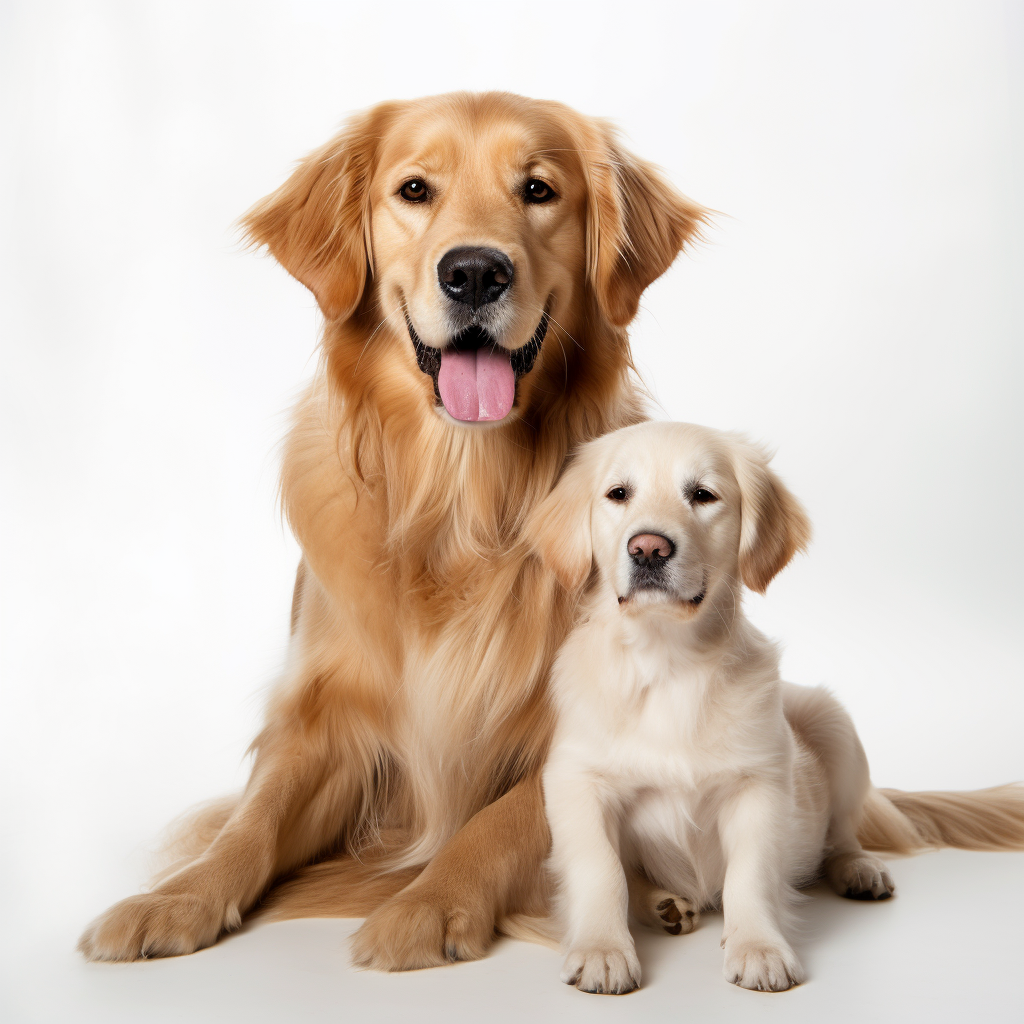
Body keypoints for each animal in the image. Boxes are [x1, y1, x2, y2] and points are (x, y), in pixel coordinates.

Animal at [79, 90, 708, 966]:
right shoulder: (329, 714)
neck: (461, 498)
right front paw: (175, 898)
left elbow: (496, 821)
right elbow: (253, 820)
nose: (474, 271)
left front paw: (428, 904)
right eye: (415, 190)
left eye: (539, 190)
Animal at [532, 421, 892, 991]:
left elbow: (751, 874)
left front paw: (759, 947)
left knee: (841, 833)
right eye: (618, 494)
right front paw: (602, 948)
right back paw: (664, 904)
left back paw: (859, 868)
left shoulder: (760, 784)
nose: (648, 549)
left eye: (703, 495)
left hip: (832, 722)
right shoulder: (576, 781)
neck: (668, 662)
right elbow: (601, 870)